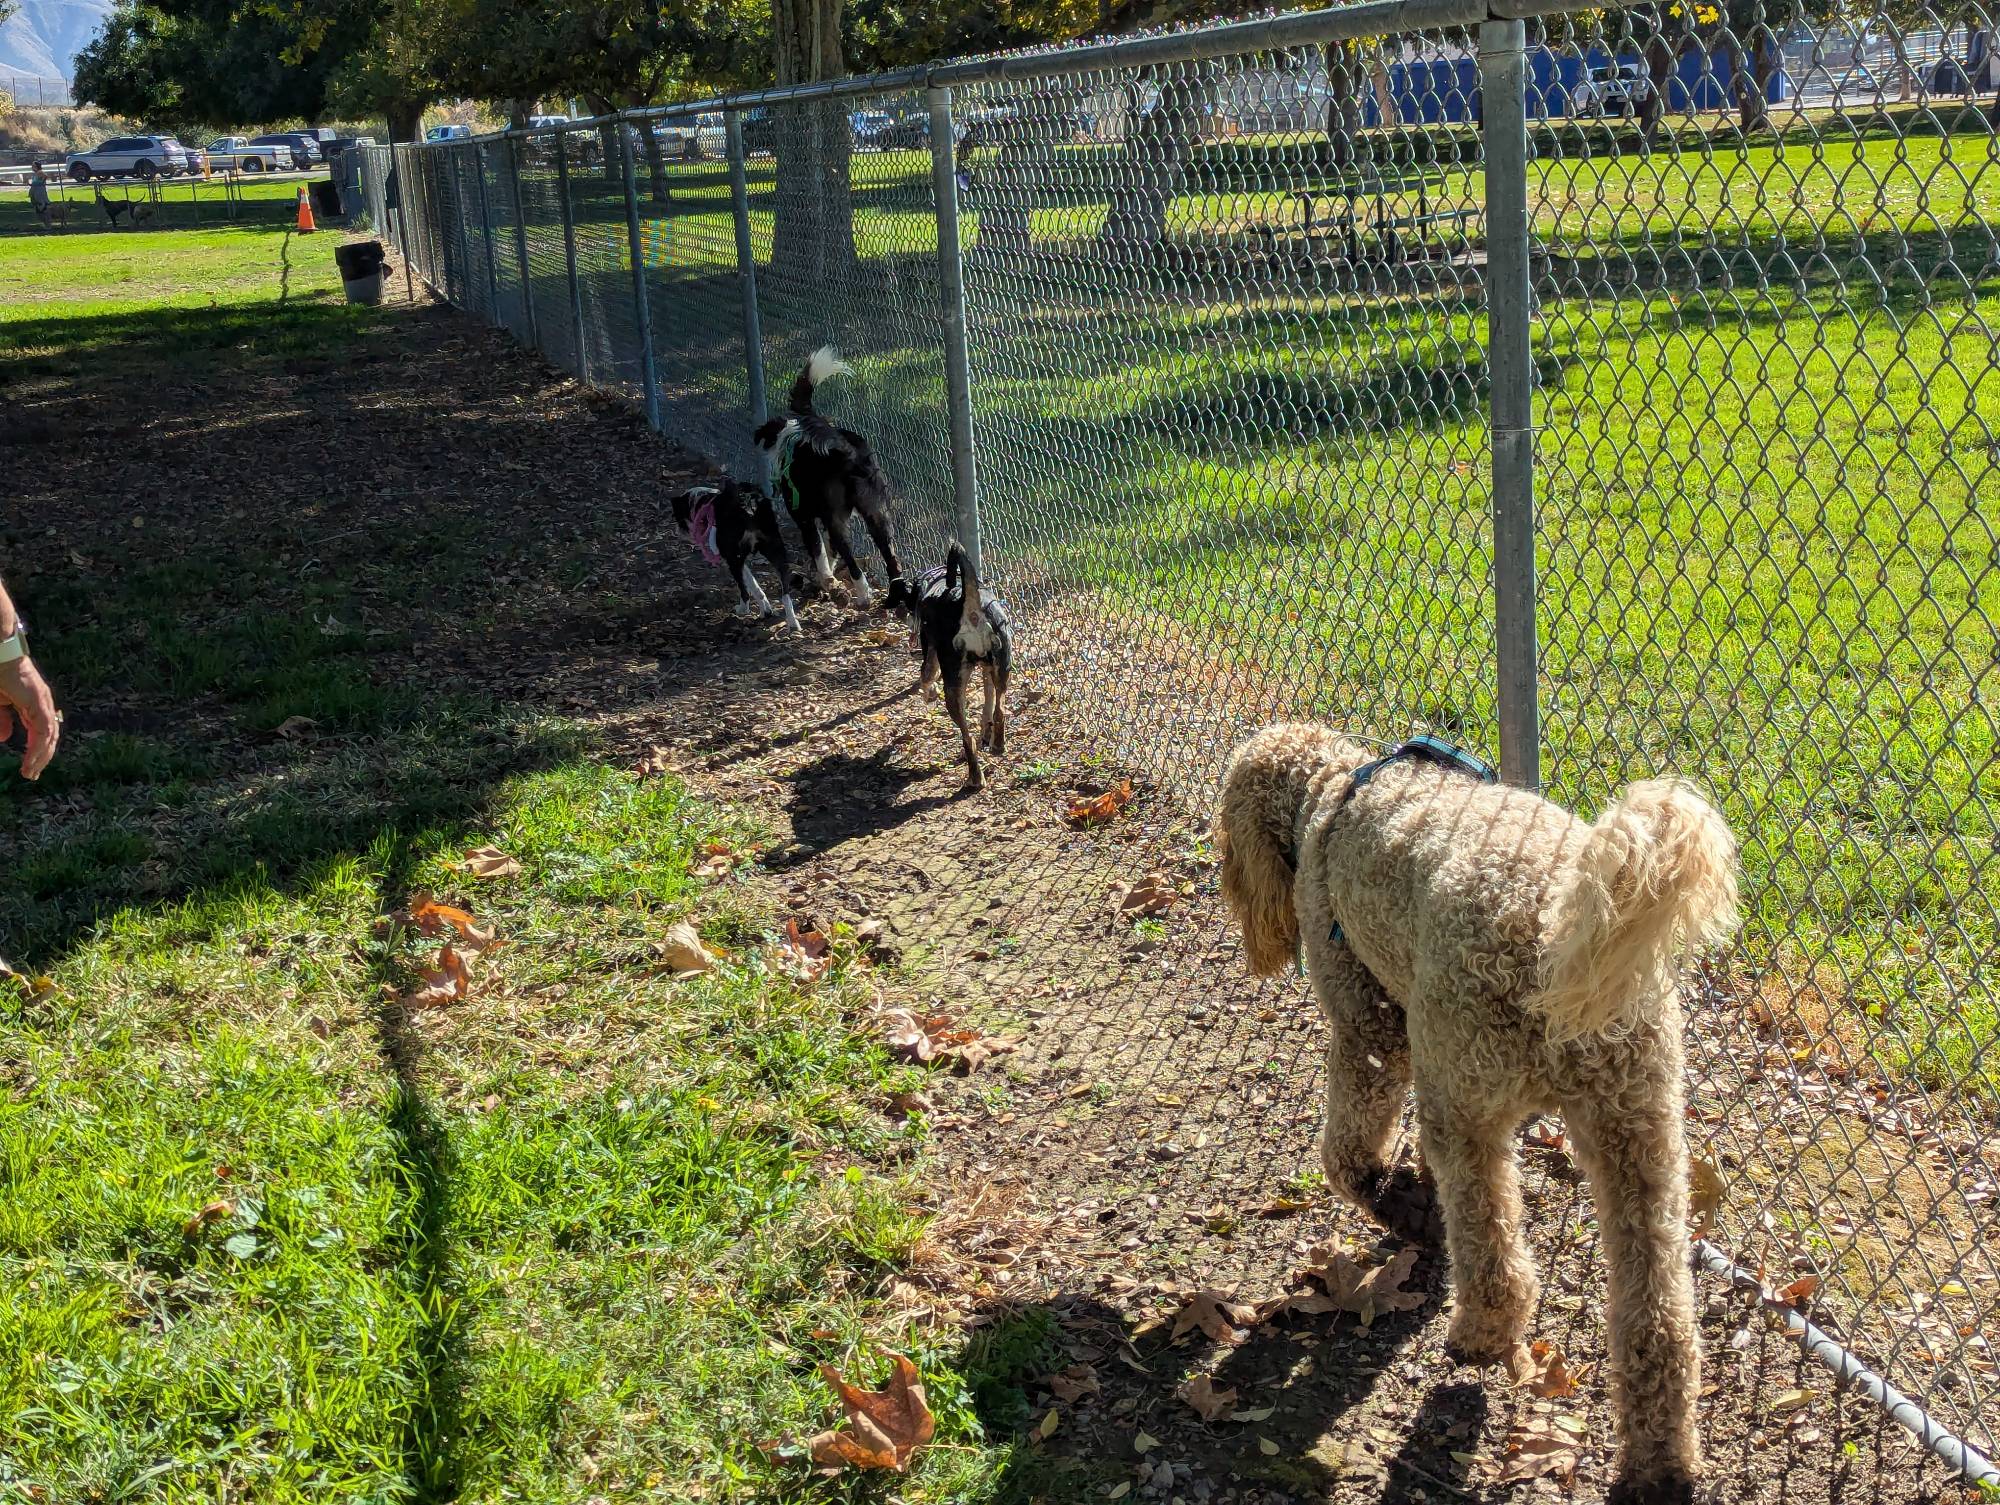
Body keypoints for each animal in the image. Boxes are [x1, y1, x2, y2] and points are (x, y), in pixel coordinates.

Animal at [669, 476, 799, 631]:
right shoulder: (740, 560)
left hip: (735, 561)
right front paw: (766, 610)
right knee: (785, 594)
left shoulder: (732, 558)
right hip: (777, 554)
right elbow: (754, 585)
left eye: (679, 518)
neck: (704, 503)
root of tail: (748, 504)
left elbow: (748, 586)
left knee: (744, 592)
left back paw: (742, 610)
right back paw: (793, 622)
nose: (677, 531)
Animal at [753, 347, 916, 616]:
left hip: (837, 519)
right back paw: (893, 597)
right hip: (878, 514)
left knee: (852, 560)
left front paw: (827, 581)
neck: (788, 437)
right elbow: (829, 552)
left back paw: (863, 595)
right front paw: (828, 582)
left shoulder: (805, 518)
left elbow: (819, 552)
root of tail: (846, 450)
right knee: (892, 560)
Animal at [915, 543, 1012, 789]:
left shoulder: (930, 655)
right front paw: (986, 731)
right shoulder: (988, 669)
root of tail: (969, 606)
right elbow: (989, 702)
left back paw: (975, 777)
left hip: (952, 684)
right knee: (1000, 709)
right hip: (1003, 667)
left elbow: (926, 677)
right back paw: (997, 744)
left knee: (966, 738)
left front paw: (929, 694)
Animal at [1217, 726, 1738, 1505]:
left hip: (1461, 1100)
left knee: (1493, 1248)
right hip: (1638, 1135)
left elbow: (1346, 1154)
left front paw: (1397, 1201)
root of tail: (1554, 917)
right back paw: (1659, 1465)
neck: (1332, 790)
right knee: (1659, 1321)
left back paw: (1481, 1332)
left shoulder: (1369, 1025)